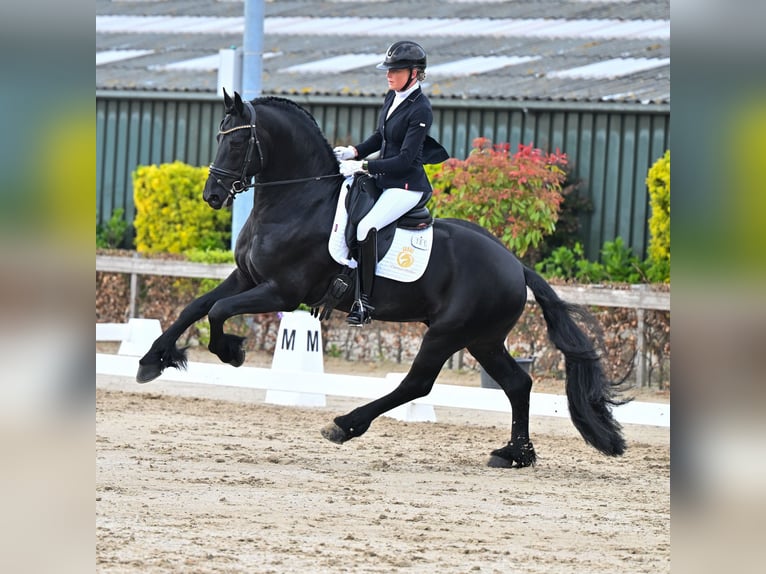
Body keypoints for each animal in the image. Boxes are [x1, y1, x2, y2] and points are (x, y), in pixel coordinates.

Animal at [136, 90, 627, 467]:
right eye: (221, 135)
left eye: (239, 143)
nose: (213, 195)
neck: (296, 201)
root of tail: (514, 263)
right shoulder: (245, 276)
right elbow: (197, 306)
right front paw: (152, 361)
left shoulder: (282, 291)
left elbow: (218, 311)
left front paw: (230, 352)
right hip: (482, 338)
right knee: (517, 384)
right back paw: (514, 455)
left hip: (448, 333)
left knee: (418, 383)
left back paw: (344, 425)